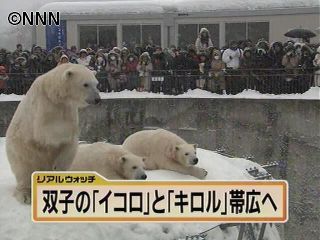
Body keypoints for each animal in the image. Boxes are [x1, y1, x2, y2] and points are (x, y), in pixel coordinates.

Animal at [6, 62, 101, 203]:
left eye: (96, 83)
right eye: (85, 84)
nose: (97, 99)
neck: (54, 94)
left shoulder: (68, 109)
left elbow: (67, 147)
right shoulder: (44, 106)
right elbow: (47, 132)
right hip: (20, 149)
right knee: (24, 170)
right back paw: (25, 194)